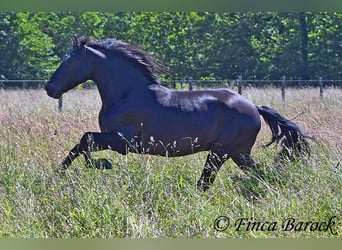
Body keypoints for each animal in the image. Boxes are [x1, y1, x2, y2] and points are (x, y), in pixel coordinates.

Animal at [45, 36, 310, 190]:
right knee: (254, 175)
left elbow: (84, 140)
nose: (50, 88)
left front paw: (101, 165)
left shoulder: (123, 141)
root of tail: (254, 107)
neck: (127, 93)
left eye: (69, 61)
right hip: (237, 154)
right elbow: (82, 143)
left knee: (207, 183)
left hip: (222, 153)